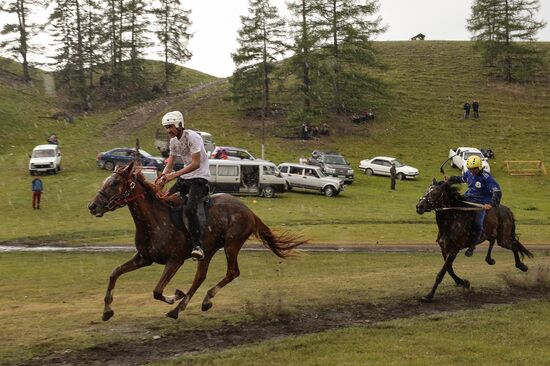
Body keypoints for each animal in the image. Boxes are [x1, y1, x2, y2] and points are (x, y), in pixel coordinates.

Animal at [88, 162, 308, 320]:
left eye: (114, 184)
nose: (92, 206)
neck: (154, 220)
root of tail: (249, 211)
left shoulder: (174, 260)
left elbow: (157, 291)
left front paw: (174, 296)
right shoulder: (144, 258)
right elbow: (114, 274)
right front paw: (107, 310)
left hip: (231, 245)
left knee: (232, 272)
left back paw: (199, 302)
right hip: (208, 251)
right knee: (200, 277)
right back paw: (183, 307)